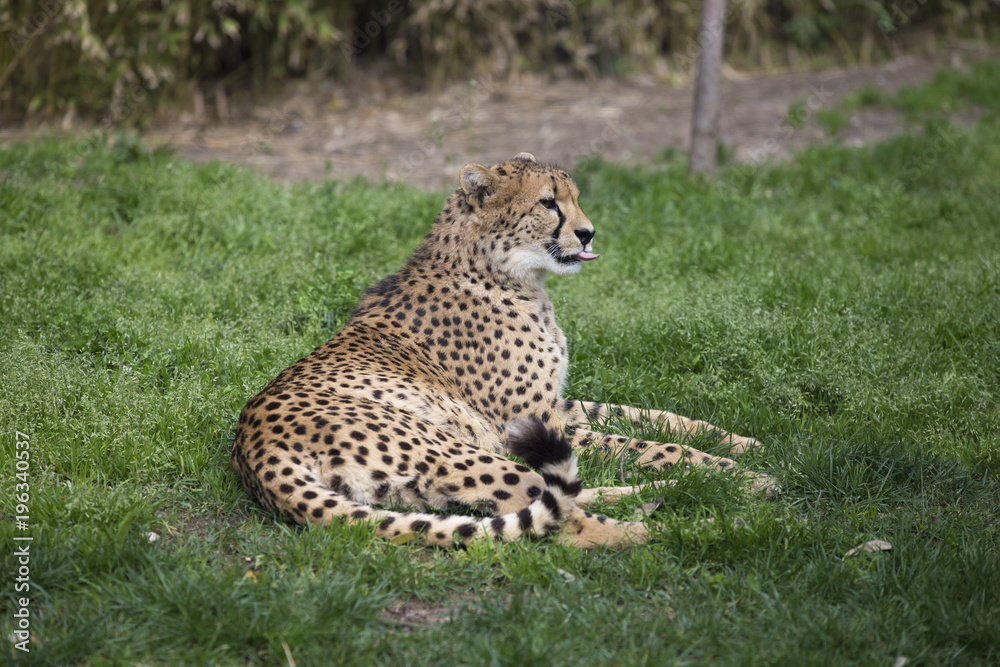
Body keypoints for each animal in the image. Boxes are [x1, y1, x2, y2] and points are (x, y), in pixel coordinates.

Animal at [230, 152, 763, 549]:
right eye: (549, 204)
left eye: (575, 199)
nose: (588, 232)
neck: (513, 277)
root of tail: (250, 448)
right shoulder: (534, 423)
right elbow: (645, 443)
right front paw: (735, 471)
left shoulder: (556, 405)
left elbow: (655, 418)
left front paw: (739, 446)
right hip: (460, 452)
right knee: (567, 522)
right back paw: (706, 526)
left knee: (567, 496)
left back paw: (675, 493)